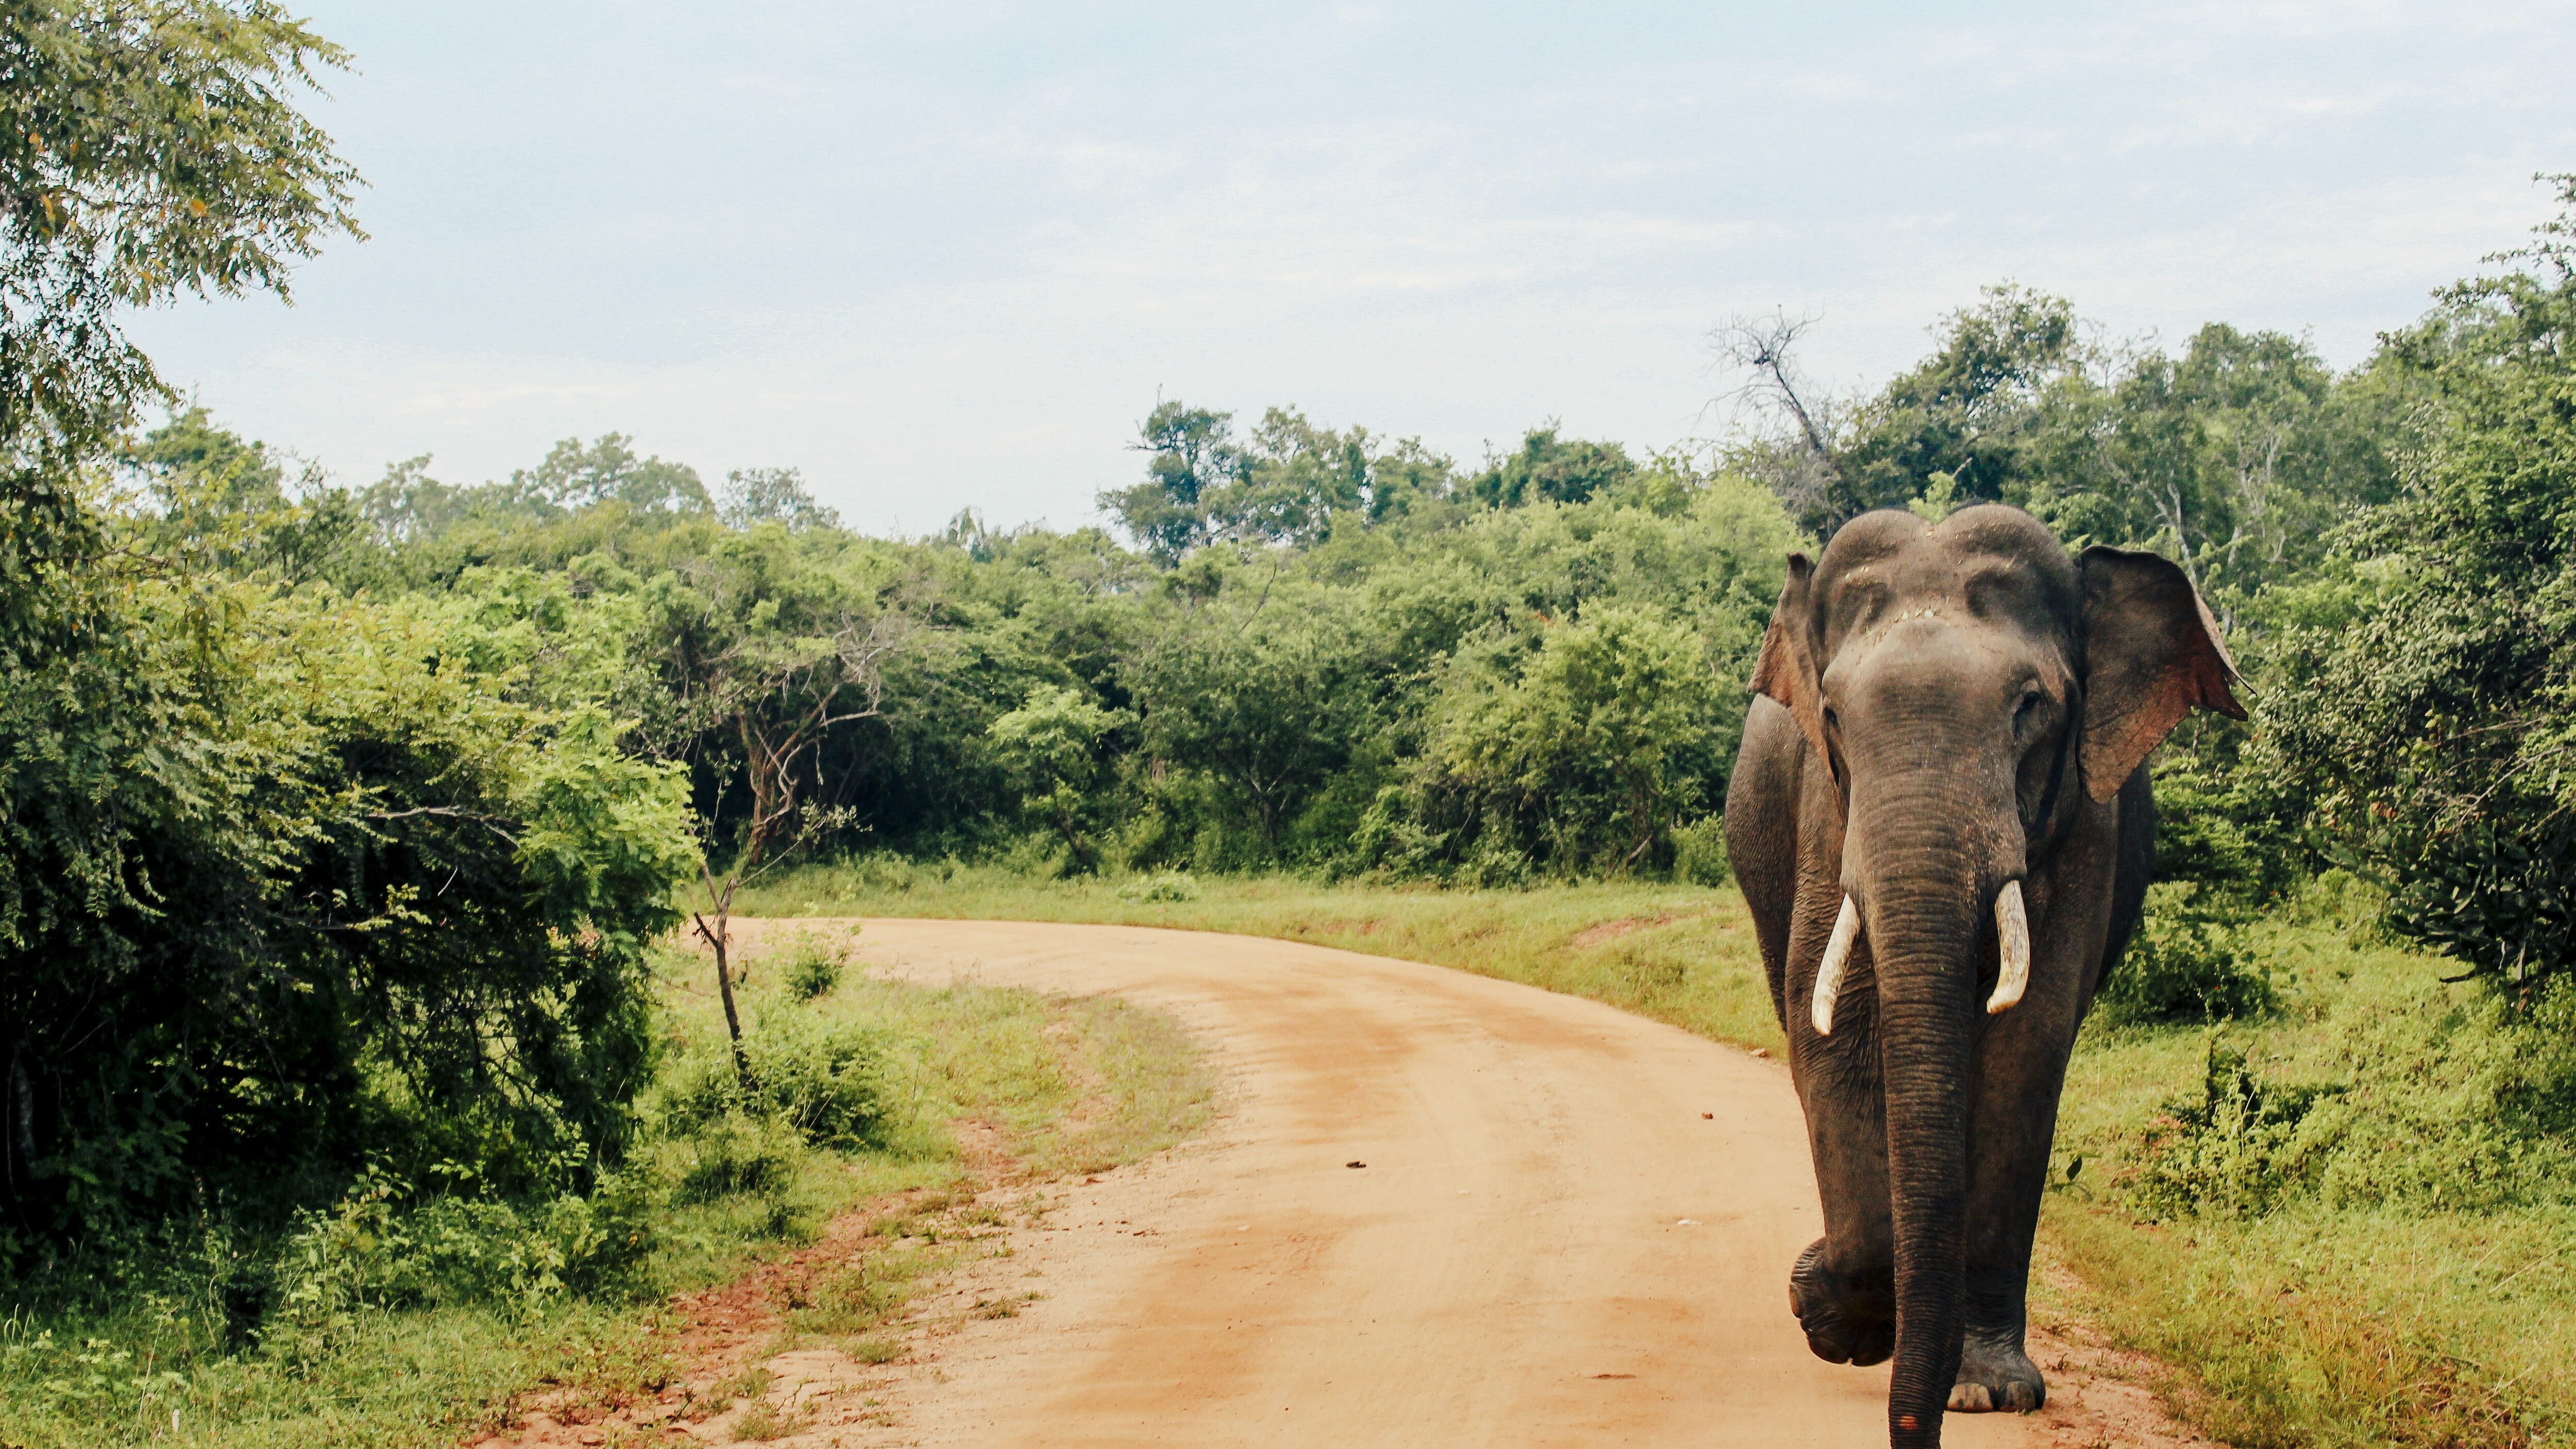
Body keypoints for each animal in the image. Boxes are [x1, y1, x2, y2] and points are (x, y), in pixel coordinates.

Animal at [1722, 504, 2242, 1447]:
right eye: (1833, 714)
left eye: (2030, 706)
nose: (1914, 1428)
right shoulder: (1827, 812)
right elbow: (1837, 1035)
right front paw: (1838, 1318)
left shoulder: (2087, 822)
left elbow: (2025, 1049)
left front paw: (1984, 1391)